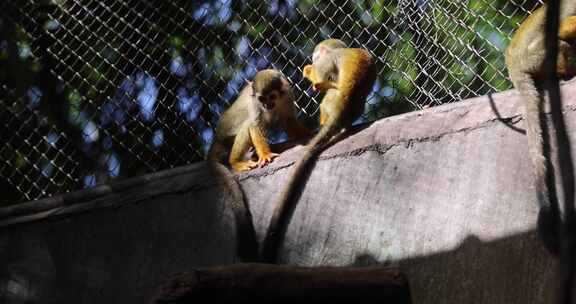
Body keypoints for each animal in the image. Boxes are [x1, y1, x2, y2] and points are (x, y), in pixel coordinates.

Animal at [260, 39, 378, 262]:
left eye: (315, 57)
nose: (312, 60)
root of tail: (344, 108)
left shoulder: (327, 61)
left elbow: (321, 77)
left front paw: (308, 71)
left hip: (333, 99)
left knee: (327, 93)